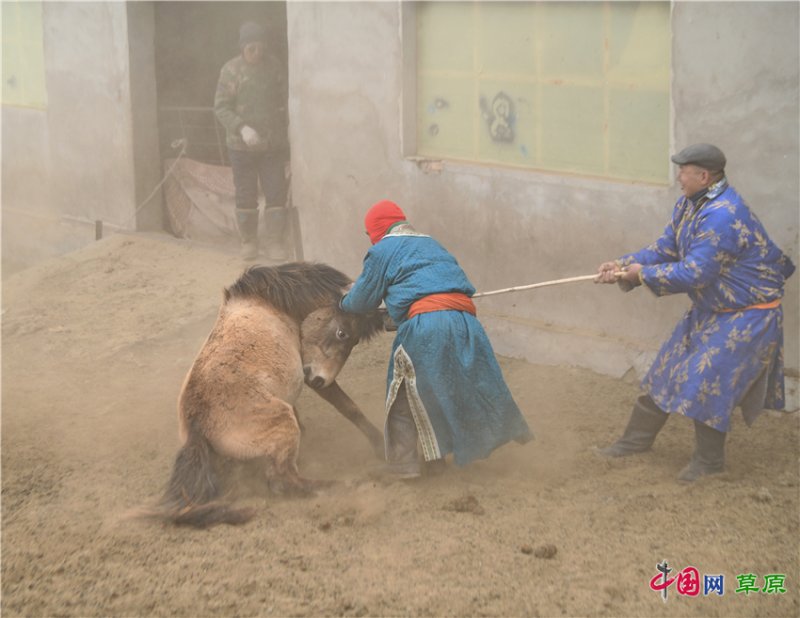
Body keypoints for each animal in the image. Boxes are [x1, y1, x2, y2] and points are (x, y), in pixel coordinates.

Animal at [150, 262, 388, 528]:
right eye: (342, 333)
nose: (319, 378)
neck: (275, 303)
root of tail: (196, 425)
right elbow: (350, 408)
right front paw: (381, 446)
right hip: (283, 426)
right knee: (283, 481)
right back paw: (342, 485)